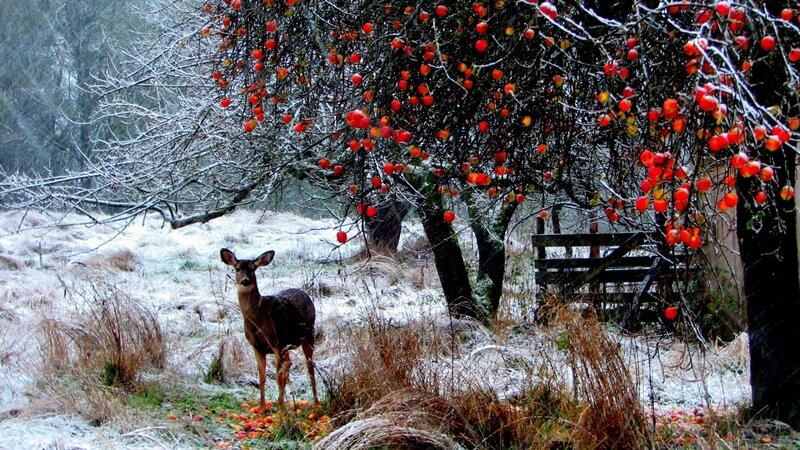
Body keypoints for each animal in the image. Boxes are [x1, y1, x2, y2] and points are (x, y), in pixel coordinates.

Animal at [220, 248, 319, 412]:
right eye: (237, 268)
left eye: (253, 268)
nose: (245, 281)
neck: (257, 317)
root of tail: (304, 293)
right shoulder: (257, 346)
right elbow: (262, 377)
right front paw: (261, 408)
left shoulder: (275, 342)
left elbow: (278, 377)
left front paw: (281, 409)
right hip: (287, 345)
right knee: (289, 363)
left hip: (308, 335)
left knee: (309, 366)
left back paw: (316, 402)